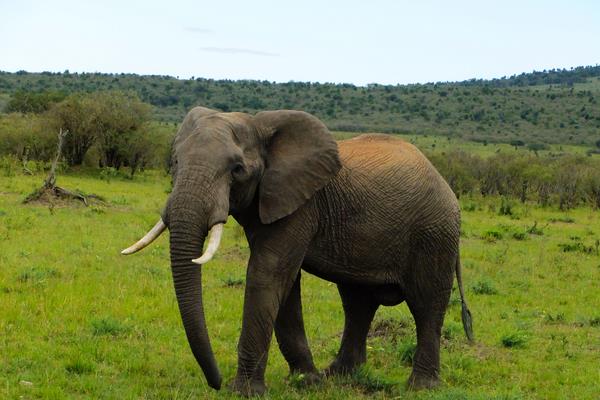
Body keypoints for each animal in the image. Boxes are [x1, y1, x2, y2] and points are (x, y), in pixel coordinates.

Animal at [119, 107, 472, 396]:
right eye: (175, 163)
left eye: (237, 169)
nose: (215, 382)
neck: (258, 126)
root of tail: (445, 183)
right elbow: (284, 285)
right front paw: (306, 381)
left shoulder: (301, 204)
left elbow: (268, 274)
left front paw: (244, 391)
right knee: (357, 302)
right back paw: (338, 377)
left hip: (434, 233)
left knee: (426, 304)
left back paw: (420, 387)